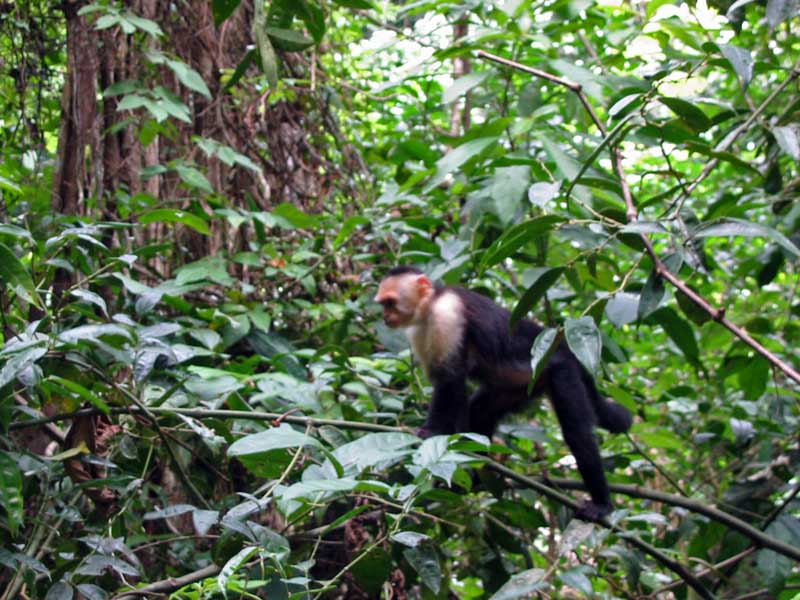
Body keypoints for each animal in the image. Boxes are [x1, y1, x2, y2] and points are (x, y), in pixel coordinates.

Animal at [374, 266, 633, 521]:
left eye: (390, 303)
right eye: (382, 305)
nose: (384, 318)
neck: (430, 304)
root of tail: (564, 345)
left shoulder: (446, 314)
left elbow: (450, 380)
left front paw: (432, 433)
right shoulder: (418, 331)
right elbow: (449, 383)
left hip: (561, 370)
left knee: (577, 433)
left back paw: (601, 503)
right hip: (519, 387)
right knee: (481, 411)